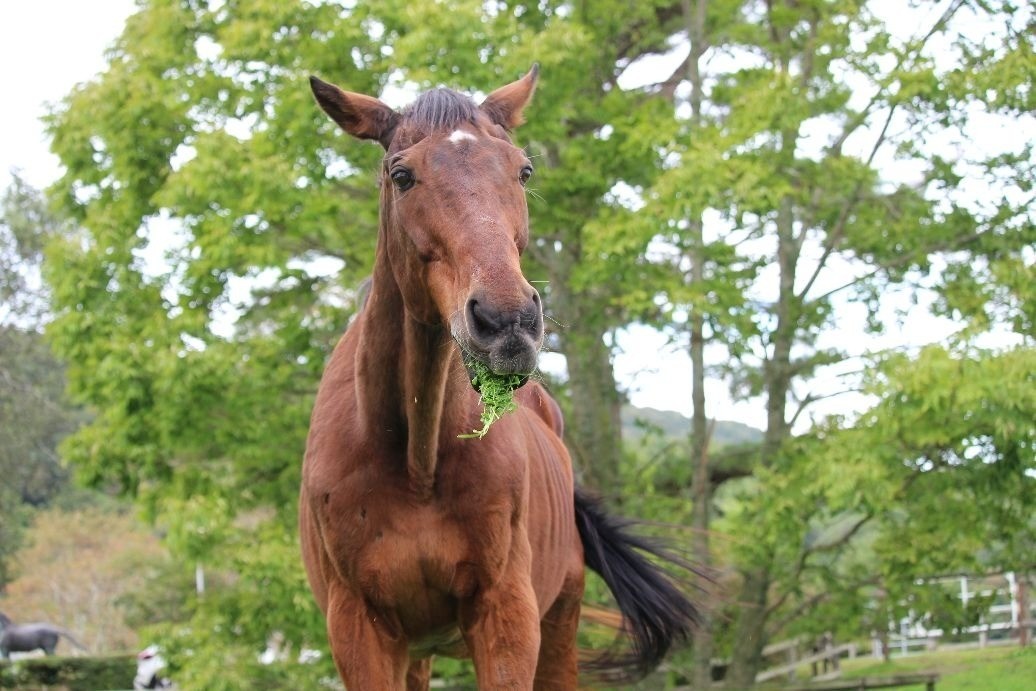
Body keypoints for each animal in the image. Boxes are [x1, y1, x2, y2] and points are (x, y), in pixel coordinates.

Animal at [299, 65, 699, 689]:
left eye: (523, 170)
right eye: (401, 175)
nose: (507, 320)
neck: (416, 462)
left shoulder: (506, 615)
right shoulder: (359, 630)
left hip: (559, 622)